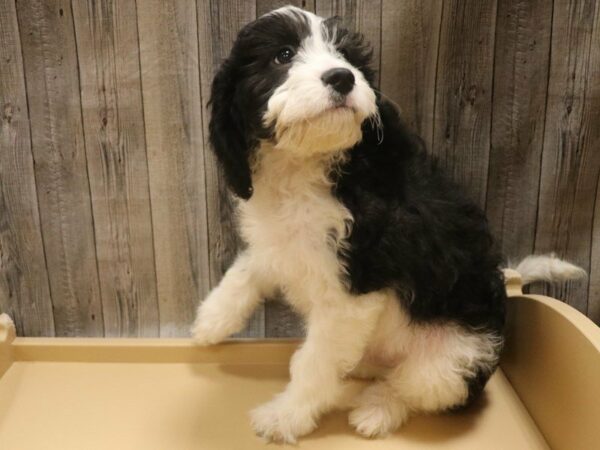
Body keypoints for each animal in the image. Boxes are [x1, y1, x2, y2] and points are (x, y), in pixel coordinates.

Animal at [193, 6, 584, 442]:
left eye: (345, 56)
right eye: (283, 55)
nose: (342, 77)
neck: (306, 165)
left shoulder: (353, 291)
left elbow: (312, 364)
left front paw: (285, 416)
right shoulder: (281, 242)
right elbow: (249, 268)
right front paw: (210, 320)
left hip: (454, 360)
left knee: (415, 388)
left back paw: (377, 410)